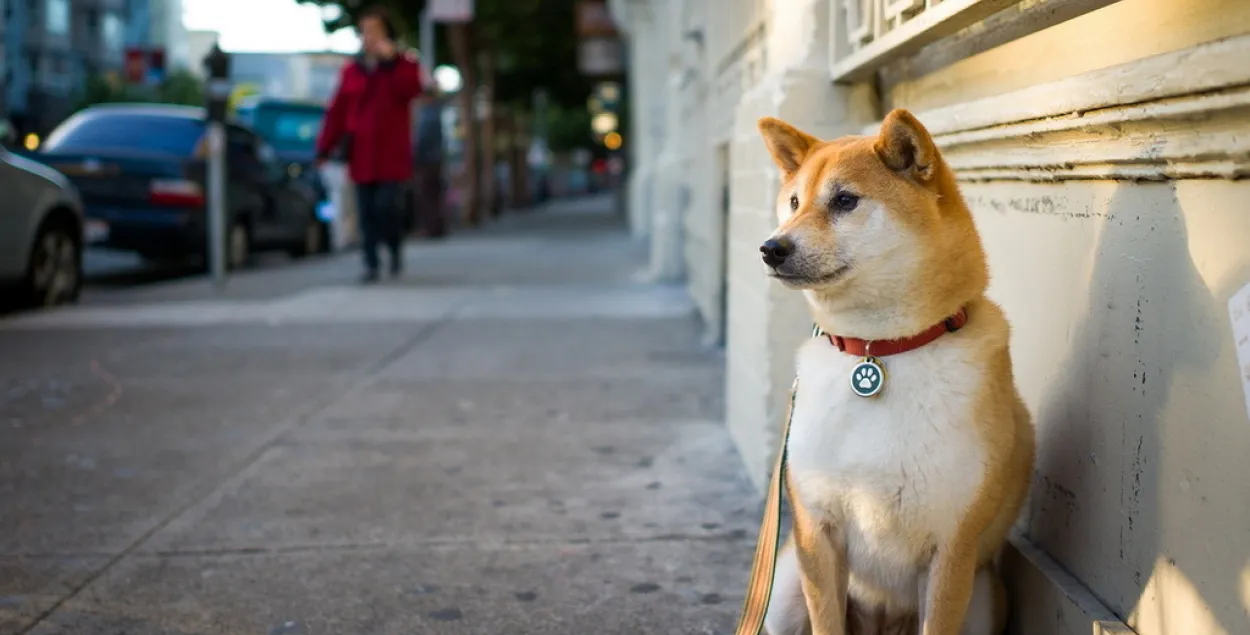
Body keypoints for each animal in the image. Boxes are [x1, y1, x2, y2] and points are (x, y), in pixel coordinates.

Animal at [755, 110, 1040, 635]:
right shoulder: (816, 534)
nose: (771, 248)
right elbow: (827, 622)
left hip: (983, 596)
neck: (879, 351)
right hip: (785, 586)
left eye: (845, 200)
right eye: (794, 202)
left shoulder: (952, 549)